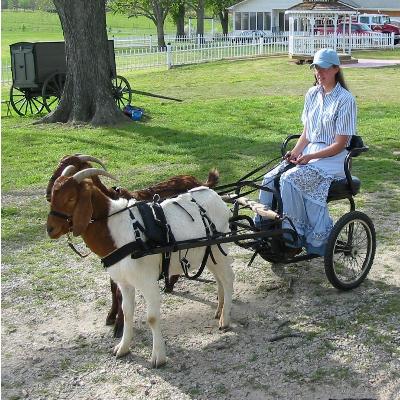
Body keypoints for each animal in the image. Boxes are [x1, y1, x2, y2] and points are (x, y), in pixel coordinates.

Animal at [47, 167, 234, 368]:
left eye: (71, 198)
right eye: (53, 196)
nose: (50, 229)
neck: (118, 229)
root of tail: (215, 196)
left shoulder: (148, 282)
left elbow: (151, 318)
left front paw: (158, 357)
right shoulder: (124, 282)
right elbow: (127, 312)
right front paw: (122, 348)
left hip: (220, 249)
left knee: (228, 279)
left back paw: (225, 319)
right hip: (207, 253)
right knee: (219, 278)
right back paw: (219, 309)